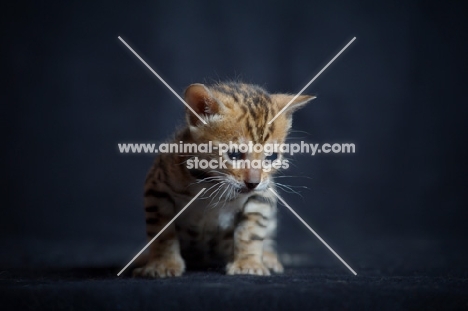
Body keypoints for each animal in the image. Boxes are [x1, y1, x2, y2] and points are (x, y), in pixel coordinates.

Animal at [133, 81, 314, 278]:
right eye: (234, 154)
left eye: (272, 157)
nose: (253, 182)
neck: (212, 184)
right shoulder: (157, 188)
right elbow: (162, 233)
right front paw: (163, 263)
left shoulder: (262, 195)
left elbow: (251, 231)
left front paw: (248, 263)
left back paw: (268, 257)